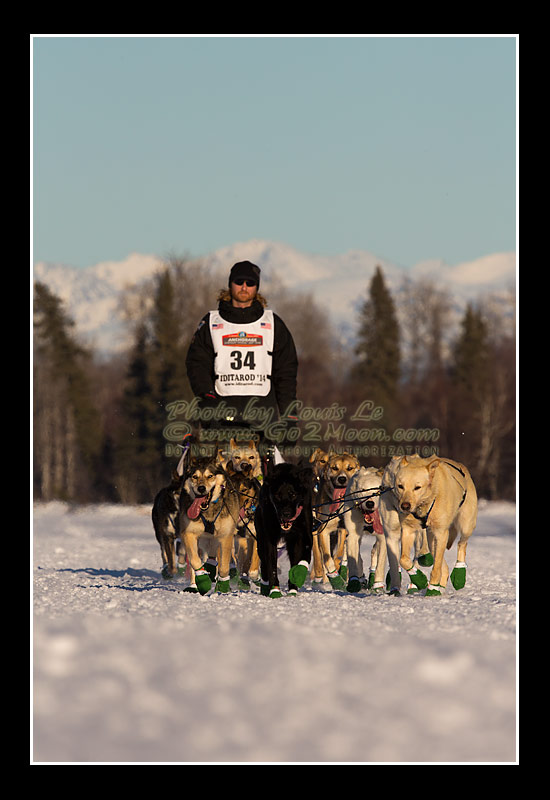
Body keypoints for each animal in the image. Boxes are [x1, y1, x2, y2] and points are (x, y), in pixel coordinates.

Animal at [254, 460, 314, 596]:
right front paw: (275, 590)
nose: (286, 513)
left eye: (293, 494)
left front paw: (298, 574)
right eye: (277, 495)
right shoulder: (269, 539)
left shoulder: (304, 534)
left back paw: (292, 590)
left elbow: (305, 556)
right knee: (264, 564)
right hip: (260, 538)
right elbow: (272, 566)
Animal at [384, 456, 478, 592]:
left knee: (462, 544)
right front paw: (420, 579)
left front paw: (432, 586)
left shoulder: (441, 533)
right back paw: (440, 588)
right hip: (431, 540)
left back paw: (458, 574)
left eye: (417, 487)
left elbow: (436, 567)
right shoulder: (408, 530)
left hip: (466, 525)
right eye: (400, 486)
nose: (405, 506)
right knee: (444, 566)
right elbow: (403, 560)